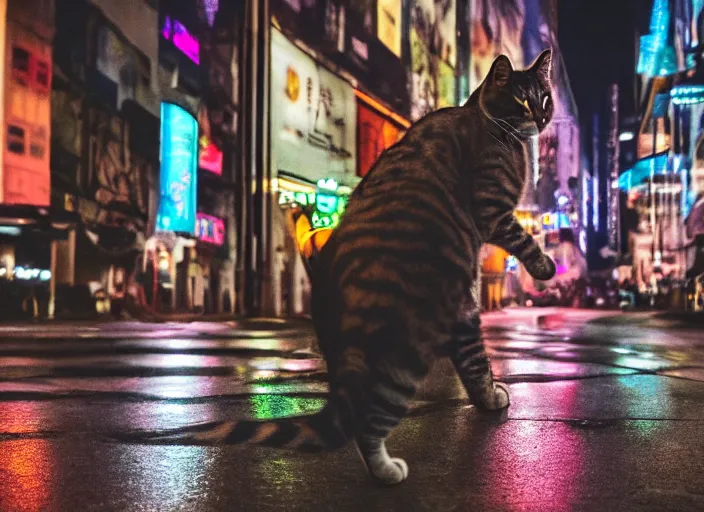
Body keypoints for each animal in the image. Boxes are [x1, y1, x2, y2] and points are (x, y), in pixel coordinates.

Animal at [117, 50, 556, 486]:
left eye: (545, 98)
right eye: (522, 100)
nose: (541, 117)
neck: (491, 124)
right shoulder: (491, 208)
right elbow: (522, 238)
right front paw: (545, 266)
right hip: (405, 356)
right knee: (366, 424)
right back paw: (388, 470)